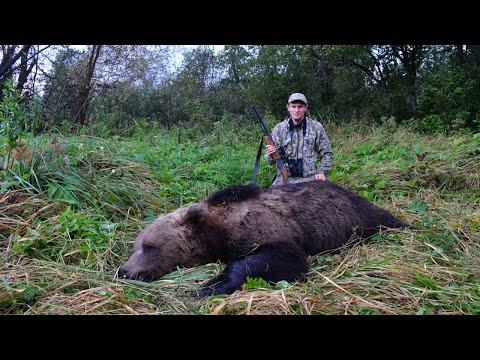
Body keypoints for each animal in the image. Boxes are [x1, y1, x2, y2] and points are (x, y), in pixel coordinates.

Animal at [118, 181, 406, 296]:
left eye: (149, 246)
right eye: (134, 247)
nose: (124, 271)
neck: (216, 229)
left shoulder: (266, 228)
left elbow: (283, 257)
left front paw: (211, 285)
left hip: (359, 218)